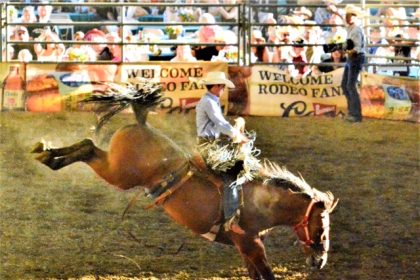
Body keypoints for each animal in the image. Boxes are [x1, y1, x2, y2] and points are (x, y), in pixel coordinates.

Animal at [32, 82, 340, 278]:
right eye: (322, 228)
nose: (320, 261)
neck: (261, 202)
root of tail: (142, 124)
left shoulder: (247, 248)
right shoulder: (251, 244)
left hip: (112, 166)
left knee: (88, 146)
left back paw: (45, 152)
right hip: (119, 174)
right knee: (87, 148)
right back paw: (47, 155)